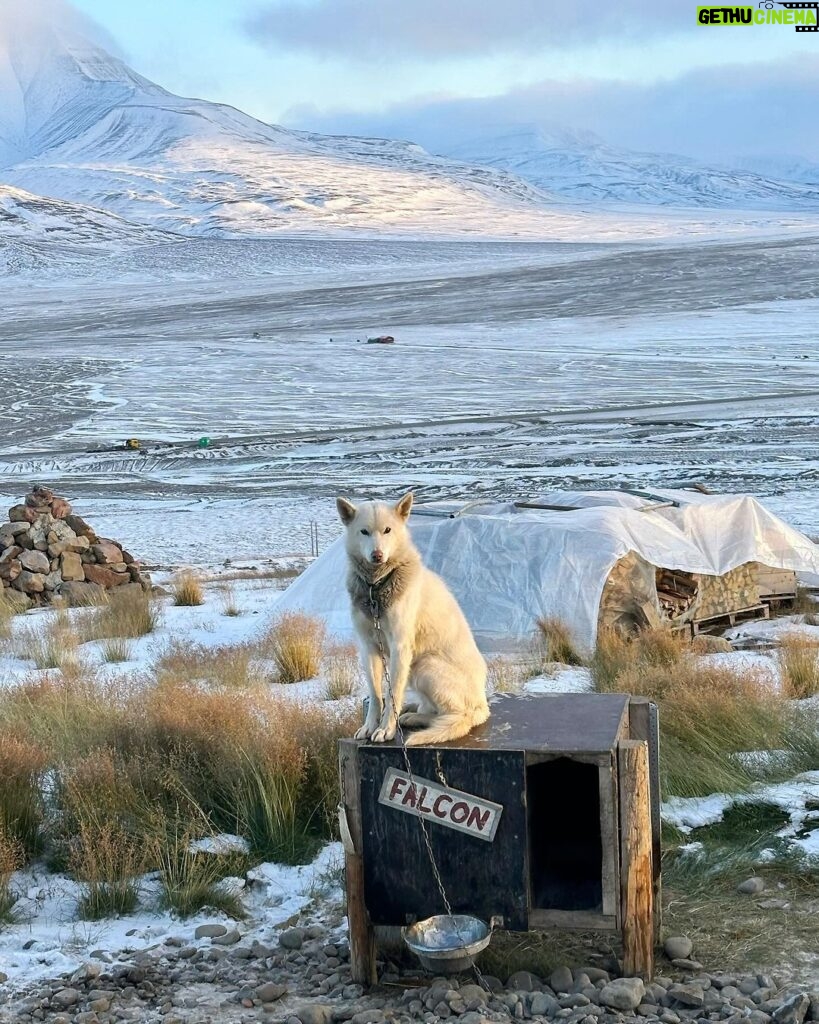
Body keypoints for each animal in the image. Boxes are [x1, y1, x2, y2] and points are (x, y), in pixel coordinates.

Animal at [335, 489, 489, 745]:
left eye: (388, 530)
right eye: (364, 531)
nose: (377, 555)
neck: (377, 587)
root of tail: (482, 706)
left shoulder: (400, 648)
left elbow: (392, 695)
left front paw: (385, 729)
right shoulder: (368, 646)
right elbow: (376, 695)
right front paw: (370, 726)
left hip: (424, 666)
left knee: (453, 715)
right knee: (432, 711)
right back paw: (411, 714)